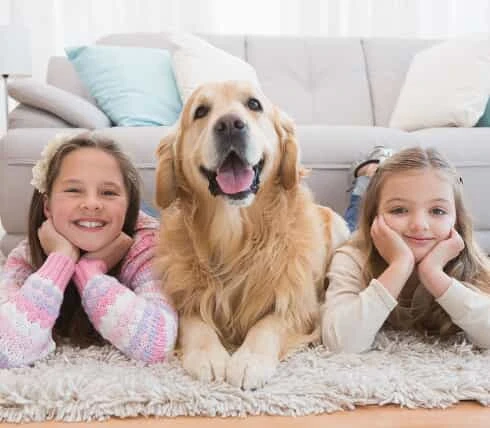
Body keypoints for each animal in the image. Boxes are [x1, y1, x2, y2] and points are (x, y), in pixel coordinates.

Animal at [153, 81, 348, 392]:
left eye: (254, 104)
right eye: (200, 111)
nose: (230, 125)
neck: (235, 234)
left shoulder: (301, 307)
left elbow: (267, 325)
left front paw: (248, 361)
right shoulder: (184, 295)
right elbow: (193, 321)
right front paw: (209, 356)